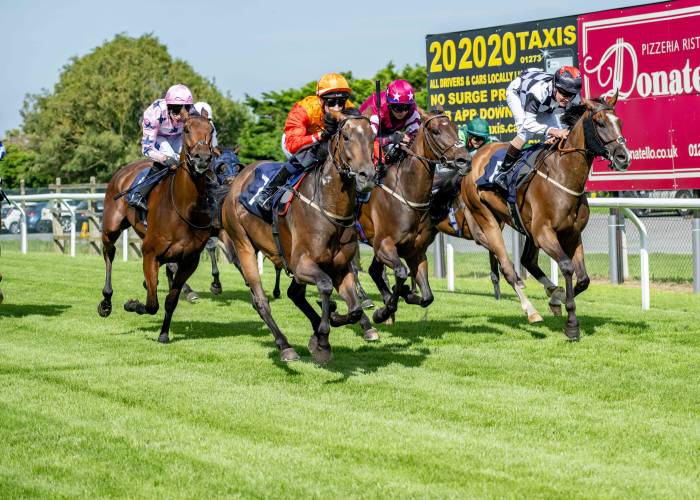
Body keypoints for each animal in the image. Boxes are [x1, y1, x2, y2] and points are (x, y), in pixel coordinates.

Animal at [97, 112, 215, 344]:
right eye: (186, 129)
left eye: (211, 129)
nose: (202, 159)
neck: (183, 208)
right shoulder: (150, 254)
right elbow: (152, 304)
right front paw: (132, 304)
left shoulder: (189, 261)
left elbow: (170, 300)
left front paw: (163, 334)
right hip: (111, 227)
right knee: (109, 253)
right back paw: (106, 301)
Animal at [224, 110, 378, 364]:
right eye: (346, 137)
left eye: (373, 137)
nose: (368, 175)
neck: (327, 205)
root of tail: (238, 179)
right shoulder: (301, 263)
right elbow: (325, 286)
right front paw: (323, 340)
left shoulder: (340, 266)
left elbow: (355, 309)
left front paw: (332, 320)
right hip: (243, 245)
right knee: (260, 301)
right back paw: (285, 345)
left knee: (293, 294)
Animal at [356, 109, 470, 322]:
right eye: (435, 131)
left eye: (455, 127)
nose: (464, 161)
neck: (406, 191)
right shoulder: (384, 244)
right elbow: (401, 273)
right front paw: (384, 311)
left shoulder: (414, 251)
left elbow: (427, 297)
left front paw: (405, 294)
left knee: (374, 271)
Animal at [462, 92, 632, 338]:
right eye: (600, 123)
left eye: (619, 122)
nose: (623, 157)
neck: (563, 177)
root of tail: (475, 157)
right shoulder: (544, 233)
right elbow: (567, 267)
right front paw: (571, 324)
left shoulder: (572, 234)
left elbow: (583, 279)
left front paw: (556, 298)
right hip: (487, 218)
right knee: (508, 268)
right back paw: (531, 311)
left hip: (525, 227)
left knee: (527, 261)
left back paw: (550, 290)